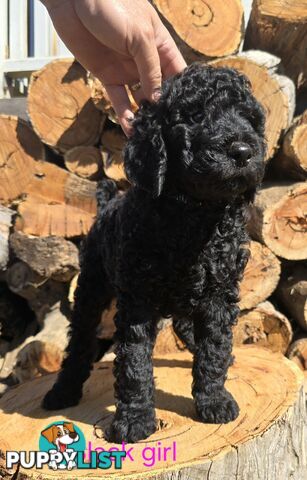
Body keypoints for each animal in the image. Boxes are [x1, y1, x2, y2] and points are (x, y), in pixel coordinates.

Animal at [43, 63, 268, 442]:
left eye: (250, 119)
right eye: (195, 116)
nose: (242, 151)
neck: (193, 215)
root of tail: (108, 203)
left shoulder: (218, 293)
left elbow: (214, 347)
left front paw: (214, 400)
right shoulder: (137, 299)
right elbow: (134, 362)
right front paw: (134, 420)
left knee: (185, 322)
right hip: (91, 285)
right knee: (81, 341)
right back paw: (63, 390)